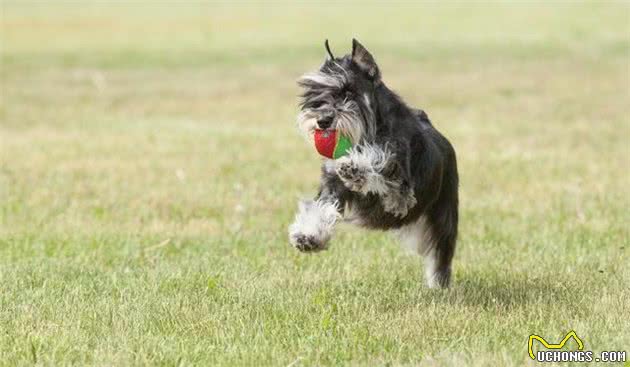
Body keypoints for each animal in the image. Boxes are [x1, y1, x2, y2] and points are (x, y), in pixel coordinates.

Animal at [290, 38, 460, 288]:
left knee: (440, 253)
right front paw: (308, 236)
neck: (368, 131)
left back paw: (438, 285)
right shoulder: (332, 185)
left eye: (348, 91)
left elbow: (380, 162)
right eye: (315, 92)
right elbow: (321, 208)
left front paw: (355, 167)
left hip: (445, 215)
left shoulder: (401, 193)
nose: (322, 120)